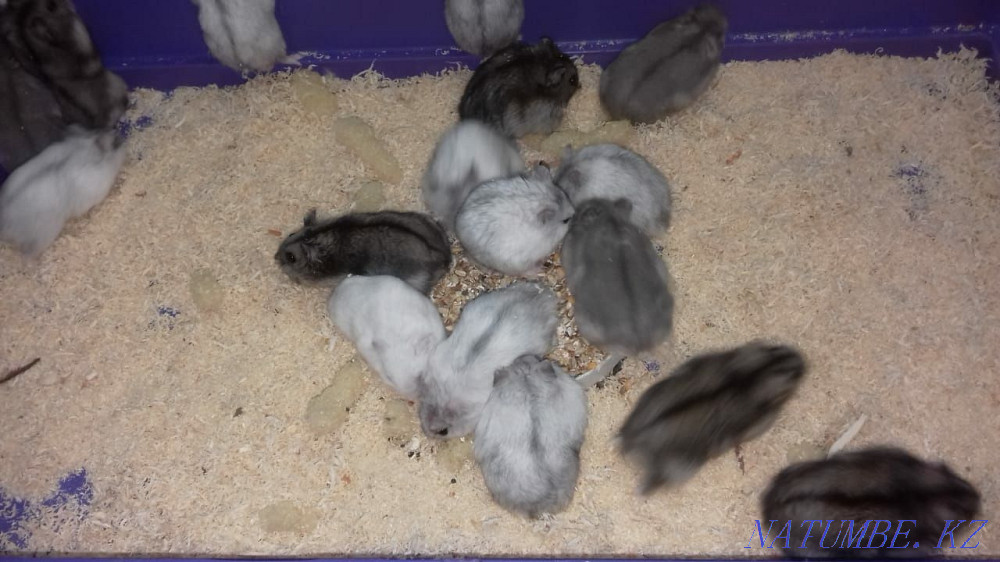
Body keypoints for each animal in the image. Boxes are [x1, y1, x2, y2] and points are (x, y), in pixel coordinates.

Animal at [618, 341, 806, 494]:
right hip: (681, 466)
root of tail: (632, 438)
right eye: (794, 376)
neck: (754, 375)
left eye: (776, 348)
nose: (802, 360)